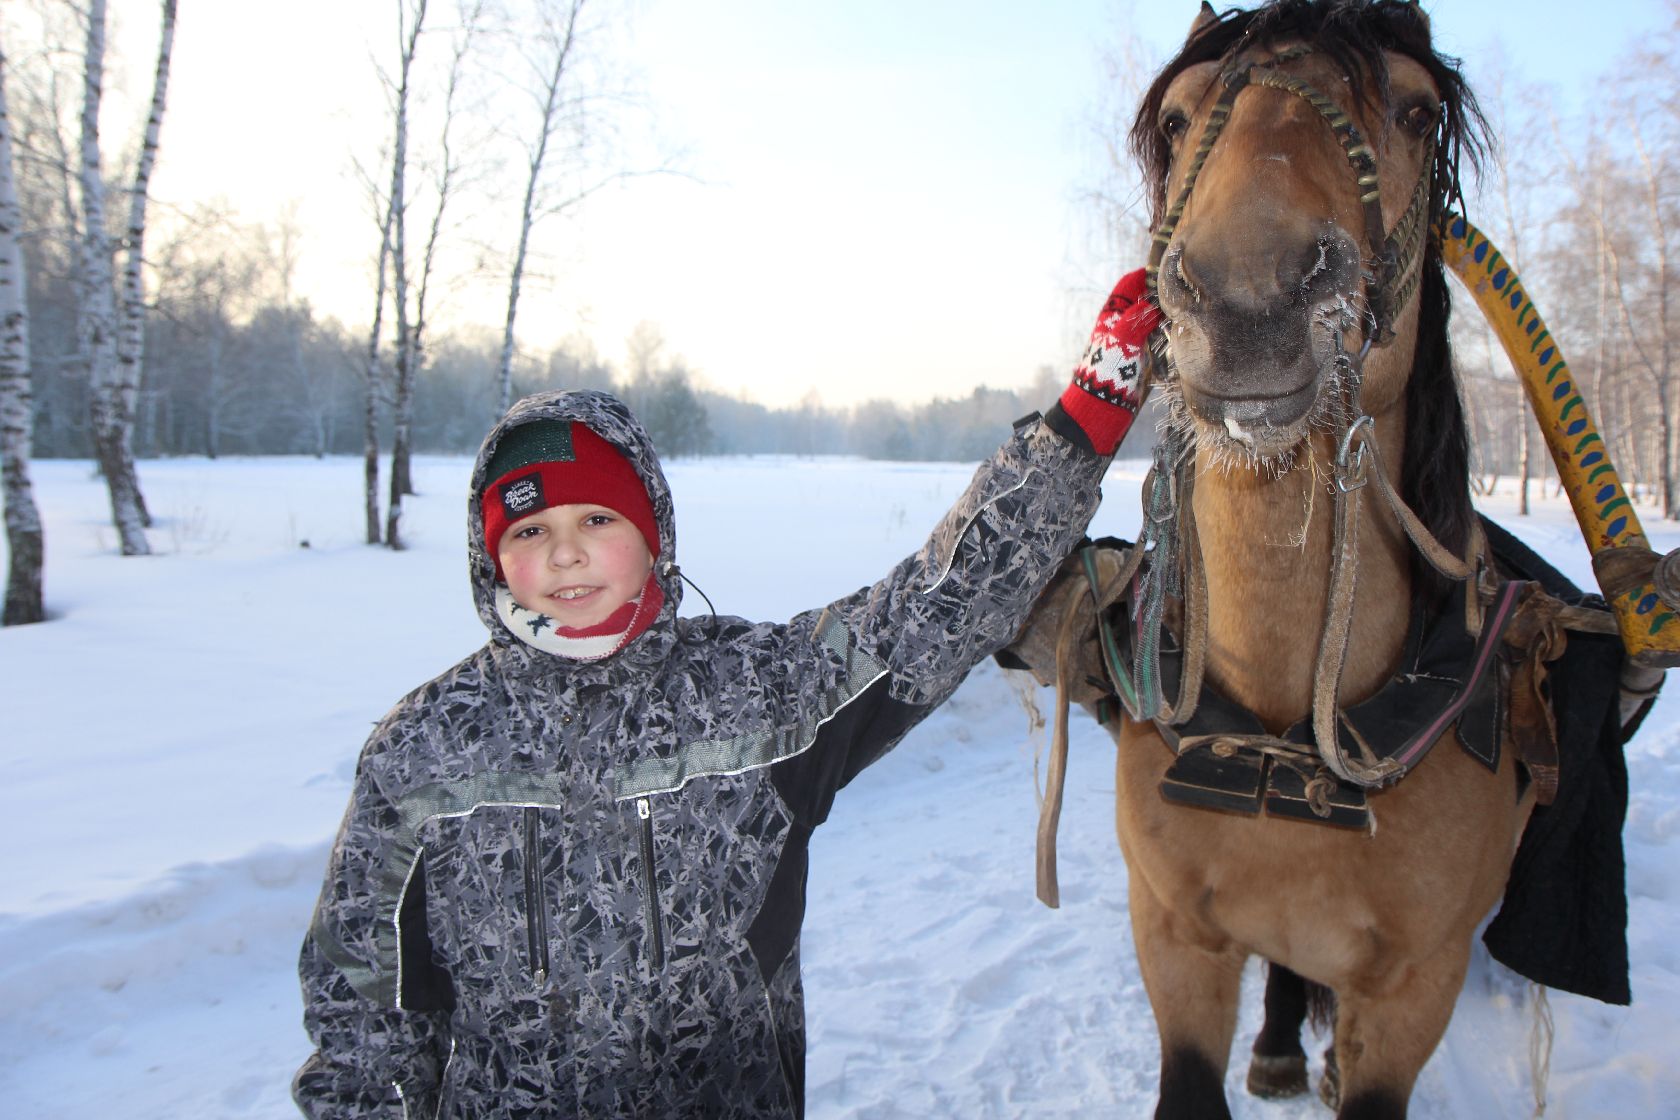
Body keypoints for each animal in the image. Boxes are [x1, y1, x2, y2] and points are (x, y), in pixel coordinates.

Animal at [994, 2, 1559, 1120]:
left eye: (1416, 110)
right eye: (1177, 118)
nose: (1250, 293)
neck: (1280, 729)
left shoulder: (1417, 987)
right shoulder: (1175, 939)